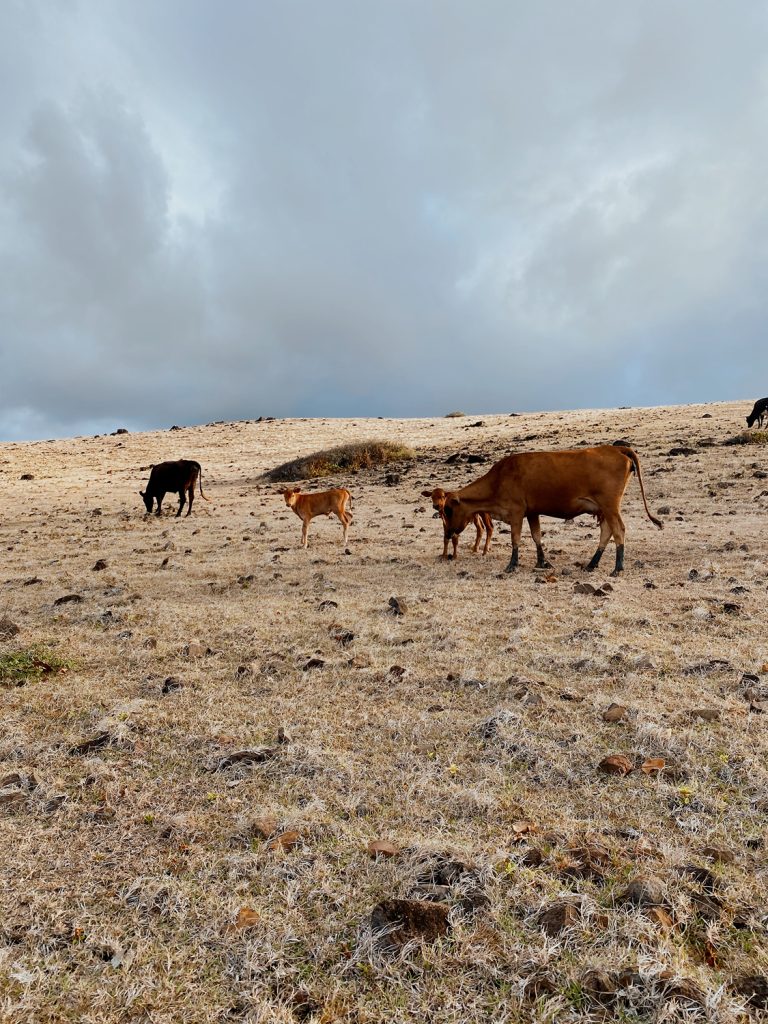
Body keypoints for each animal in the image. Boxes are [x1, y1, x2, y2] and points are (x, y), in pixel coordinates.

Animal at [438, 446, 662, 576]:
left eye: (448, 509)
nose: (448, 533)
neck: (498, 479)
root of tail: (616, 449)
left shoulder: (516, 512)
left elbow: (515, 539)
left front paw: (512, 565)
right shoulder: (532, 512)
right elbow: (536, 537)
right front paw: (542, 561)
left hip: (610, 506)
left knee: (618, 531)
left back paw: (617, 568)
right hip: (604, 509)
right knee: (606, 532)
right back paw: (592, 564)